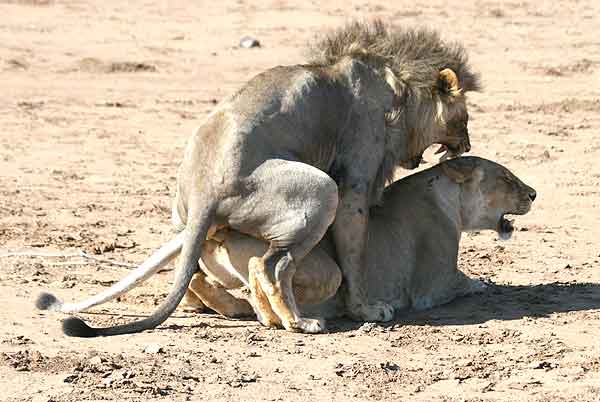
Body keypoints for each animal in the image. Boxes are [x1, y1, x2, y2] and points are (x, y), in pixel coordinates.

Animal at [36, 22, 478, 336]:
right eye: (464, 118)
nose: (469, 143)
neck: (397, 86)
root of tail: (205, 191)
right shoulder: (354, 180)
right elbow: (354, 255)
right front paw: (366, 310)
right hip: (319, 190)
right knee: (271, 266)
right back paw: (298, 323)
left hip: (182, 216)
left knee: (194, 269)